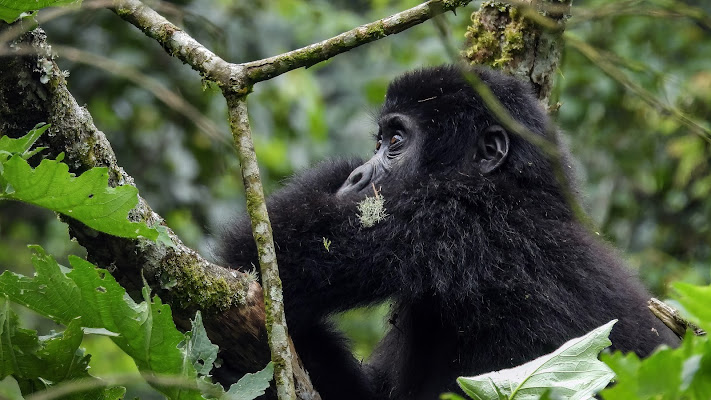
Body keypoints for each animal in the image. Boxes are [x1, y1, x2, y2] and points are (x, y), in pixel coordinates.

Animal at [221, 65, 680, 400]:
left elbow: (259, 262)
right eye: (378, 142)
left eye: (396, 141)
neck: (516, 191)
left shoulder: (438, 219)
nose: (356, 177)